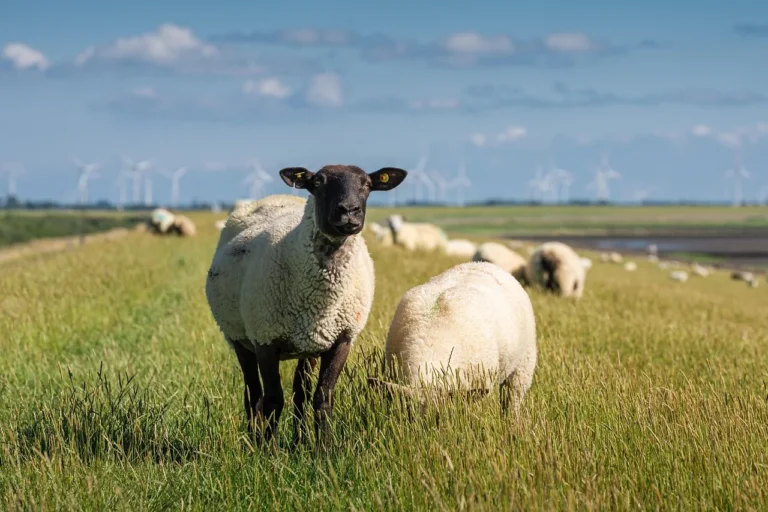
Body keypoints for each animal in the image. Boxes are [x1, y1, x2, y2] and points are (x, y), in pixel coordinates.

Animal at [205, 164, 407, 447]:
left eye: (367, 184)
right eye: (318, 183)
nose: (349, 211)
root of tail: (272, 198)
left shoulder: (341, 339)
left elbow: (322, 397)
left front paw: (324, 448)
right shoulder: (265, 339)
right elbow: (273, 400)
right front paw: (269, 450)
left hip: (309, 344)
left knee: (300, 392)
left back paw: (299, 440)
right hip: (238, 337)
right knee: (253, 394)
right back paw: (255, 441)